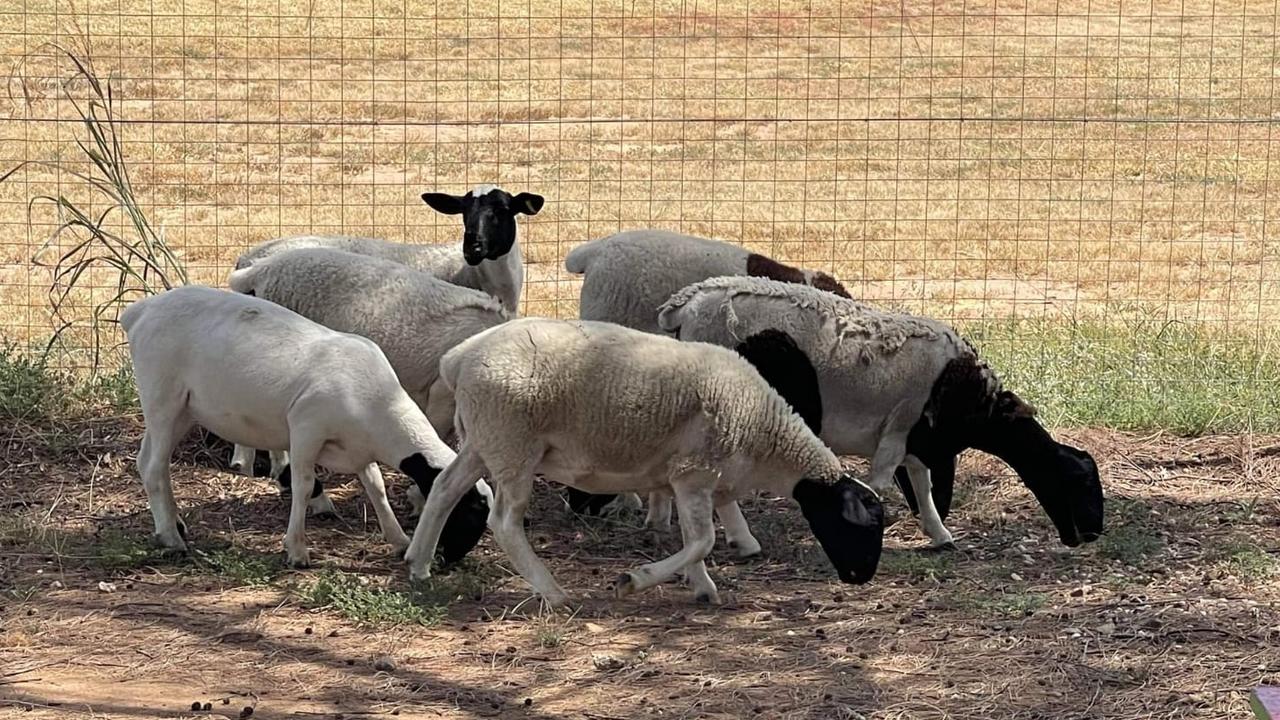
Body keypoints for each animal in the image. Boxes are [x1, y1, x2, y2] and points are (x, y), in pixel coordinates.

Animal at [404, 316, 885, 602]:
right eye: (859, 525)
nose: (861, 577)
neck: (765, 434)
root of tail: (459, 359)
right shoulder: (694, 472)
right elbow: (701, 541)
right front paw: (636, 579)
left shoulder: (691, 479)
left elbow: (695, 540)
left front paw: (702, 586)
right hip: (513, 444)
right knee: (504, 521)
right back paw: (553, 591)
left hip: (484, 440)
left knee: (445, 487)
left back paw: (419, 563)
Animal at [655, 278, 1105, 545]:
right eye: (1081, 481)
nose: (1092, 535)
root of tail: (684, 306)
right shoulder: (900, 429)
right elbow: (886, 485)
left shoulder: (916, 438)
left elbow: (921, 485)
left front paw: (940, 534)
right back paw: (743, 541)